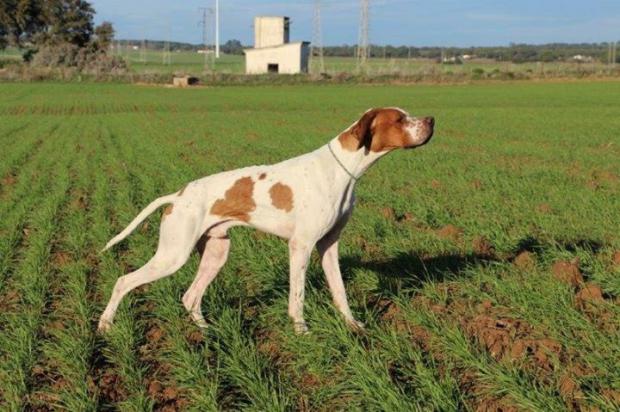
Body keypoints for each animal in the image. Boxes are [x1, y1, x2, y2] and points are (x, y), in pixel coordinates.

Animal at [98, 108, 436, 334]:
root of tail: (178, 195)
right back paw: (105, 325)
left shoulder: (329, 246)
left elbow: (339, 291)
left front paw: (353, 325)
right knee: (123, 281)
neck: (344, 169)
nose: (432, 120)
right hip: (173, 254)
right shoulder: (301, 246)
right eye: (400, 119)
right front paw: (301, 332)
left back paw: (207, 332)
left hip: (216, 253)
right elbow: (297, 297)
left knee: (190, 296)